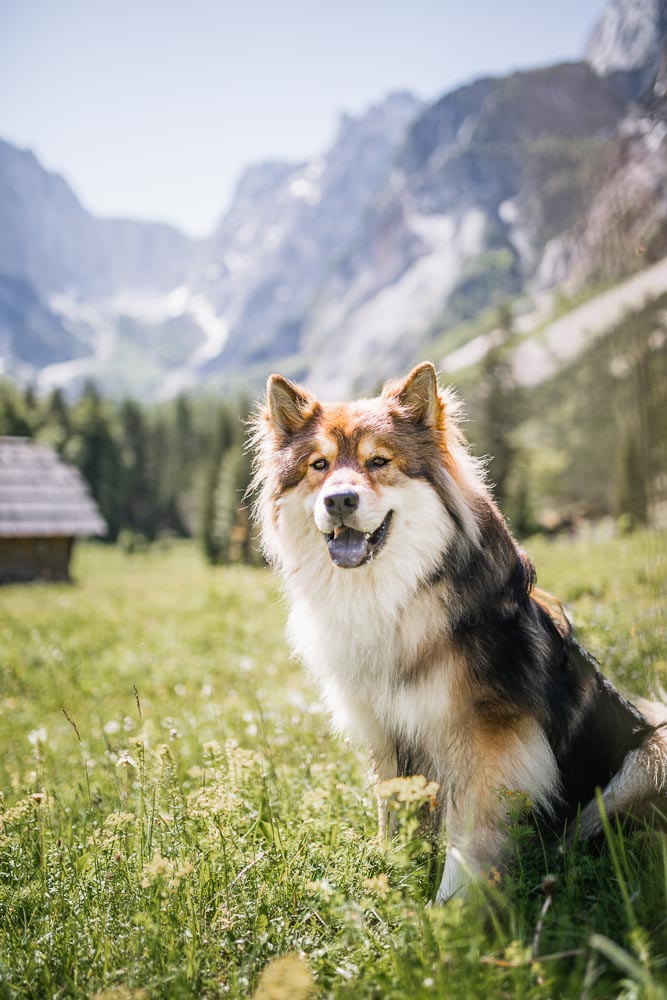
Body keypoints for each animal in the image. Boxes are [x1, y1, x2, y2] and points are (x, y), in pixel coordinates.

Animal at [252, 364, 667, 904]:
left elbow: (468, 838)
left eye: (378, 461)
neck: (395, 598)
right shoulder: (386, 733)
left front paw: (450, 910)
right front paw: (387, 880)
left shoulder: (486, 741)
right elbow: (391, 816)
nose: (339, 500)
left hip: (650, 755)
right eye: (318, 465)